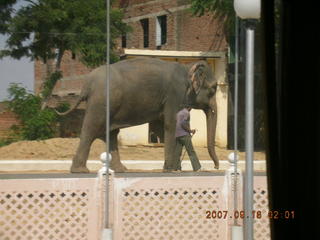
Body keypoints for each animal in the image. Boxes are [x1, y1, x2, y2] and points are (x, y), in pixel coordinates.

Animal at [56, 56, 219, 172]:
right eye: (213, 89)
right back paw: (80, 171)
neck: (188, 67)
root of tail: (86, 85)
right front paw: (169, 170)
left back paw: (121, 170)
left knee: (111, 134)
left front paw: (170, 168)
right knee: (90, 131)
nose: (216, 167)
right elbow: (170, 125)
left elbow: (162, 126)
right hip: (101, 103)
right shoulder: (174, 95)